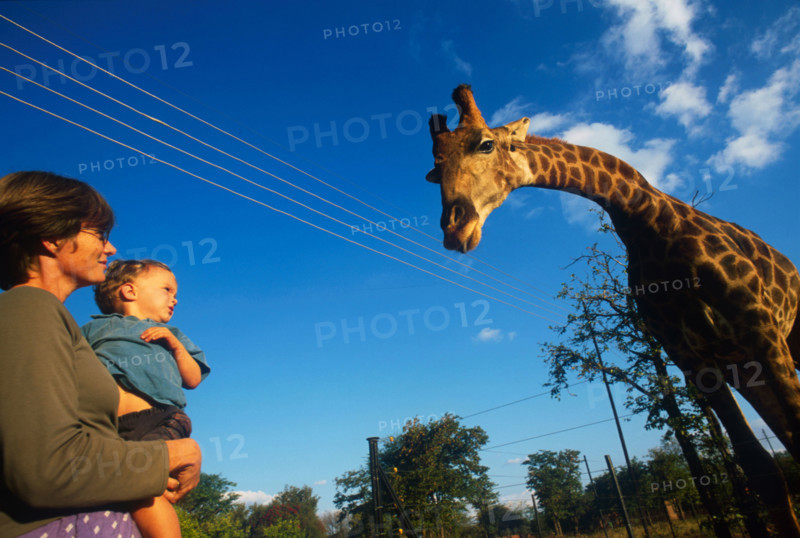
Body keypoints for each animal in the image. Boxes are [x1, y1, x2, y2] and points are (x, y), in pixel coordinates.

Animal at [425, 84, 800, 535]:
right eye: (434, 170)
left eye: (486, 144)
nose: (455, 230)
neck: (645, 218)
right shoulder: (695, 360)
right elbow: (762, 470)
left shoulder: (760, 329)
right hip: (744, 368)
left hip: (784, 341)